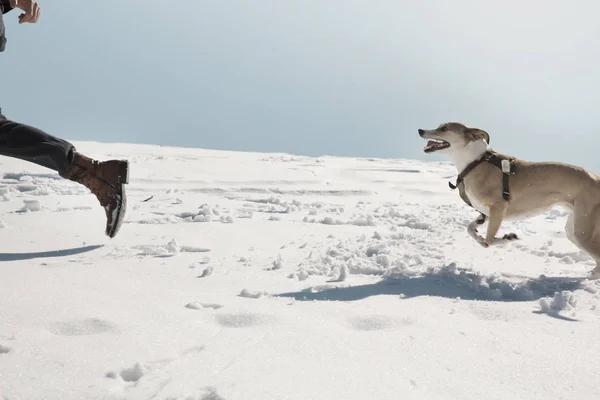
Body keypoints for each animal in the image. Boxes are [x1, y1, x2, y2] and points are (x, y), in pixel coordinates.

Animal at [420, 122, 600, 276]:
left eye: (444, 128)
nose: (420, 130)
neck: (475, 162)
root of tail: (597, 179)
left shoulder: (499, 207)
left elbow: (491, 239)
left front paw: (509, 238)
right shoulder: (488, 213)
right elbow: (471, 229)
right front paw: (479, 238)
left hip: (583, 231)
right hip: (574, 229)